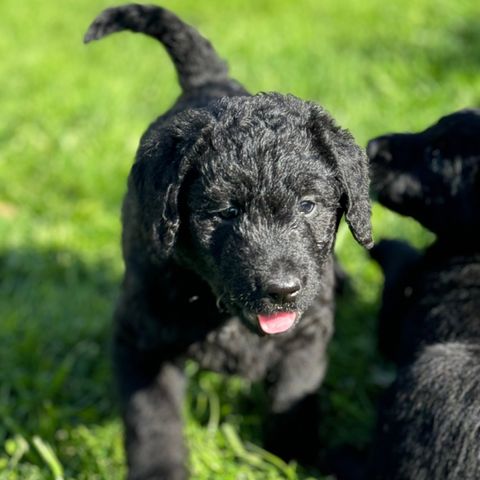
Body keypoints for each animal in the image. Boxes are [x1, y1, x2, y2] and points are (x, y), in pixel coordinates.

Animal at [84, 4, 374, 480]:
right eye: (225, 213)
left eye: (308, 205)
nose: (282, 290)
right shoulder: (140, 339)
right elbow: (152, 420)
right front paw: (159, 472)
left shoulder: (306, 337)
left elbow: (294, 398)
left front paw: (291, 459)